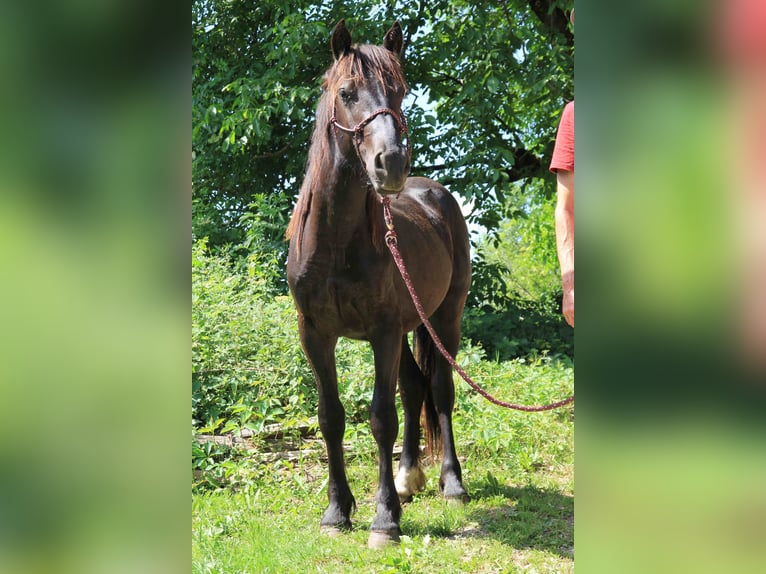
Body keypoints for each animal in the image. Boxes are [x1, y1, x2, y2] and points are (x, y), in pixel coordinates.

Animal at [285, 20, 471, 548]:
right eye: (346, 92)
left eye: (401, 92)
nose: (391, 164)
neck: (335, 245)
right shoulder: (315, 334)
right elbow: (331, 417)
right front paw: (336, 512)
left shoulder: (383, 332)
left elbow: (380, 417)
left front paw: (384, 520)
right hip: (410, 326)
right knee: (413, 386)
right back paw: (410, 478)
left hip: (443, 319)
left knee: (439, 390)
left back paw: (451, 484)